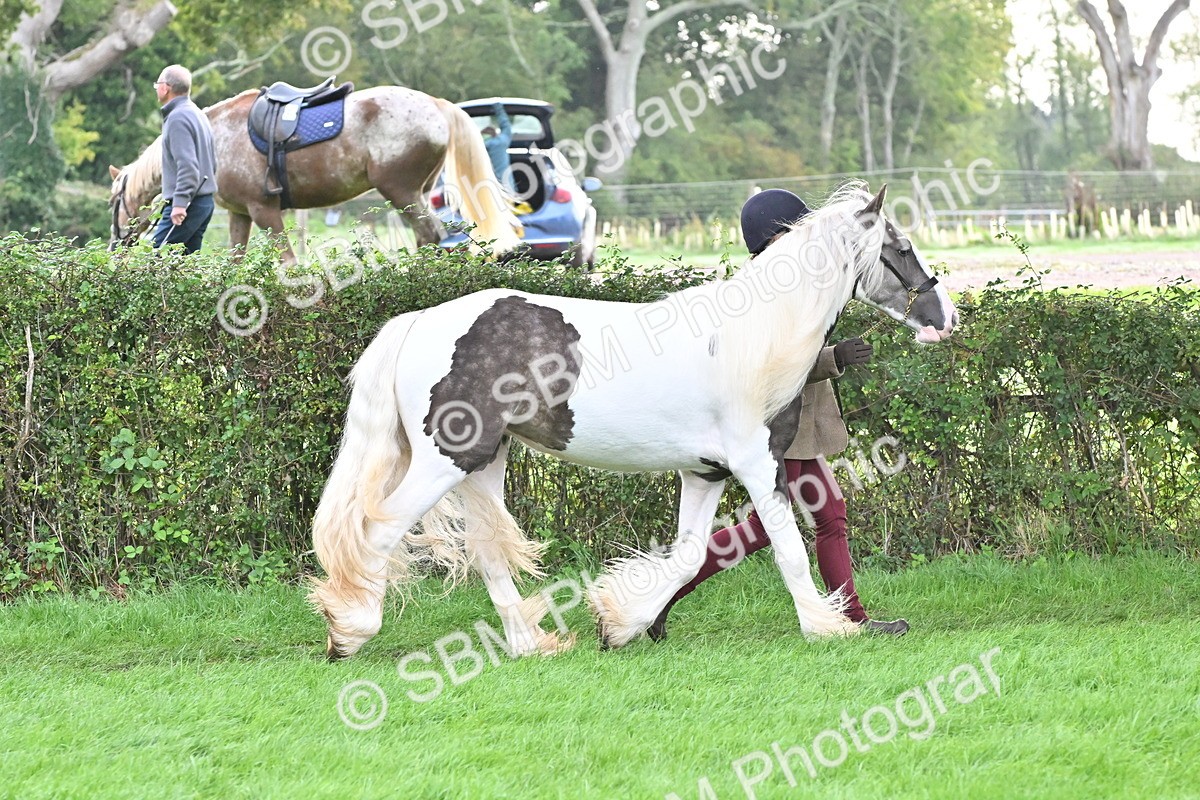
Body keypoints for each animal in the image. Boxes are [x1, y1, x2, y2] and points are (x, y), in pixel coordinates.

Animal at [108, 85, 521, 262]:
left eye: (114, 202)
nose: (114, 246)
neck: (215, 136)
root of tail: (436, 104)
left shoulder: (264, 212)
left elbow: (288, 263)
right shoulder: (241, 215)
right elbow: (234, 263)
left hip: (400, 191)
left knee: (431, 234)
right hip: (415, 193)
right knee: (430, 238)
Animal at [310, 182, 958, 660]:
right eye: (901, 248)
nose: (944, 316)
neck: (753, 337)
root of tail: (418, 322)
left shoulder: (706, 472)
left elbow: (691, 555)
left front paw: (620, 622)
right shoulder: (756, 463)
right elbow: (789, 548)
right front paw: (827, 627)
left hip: (482, 466)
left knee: (488, 553)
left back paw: (530, 645)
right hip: (445, 461)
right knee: (378, 533)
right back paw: (350, 634)